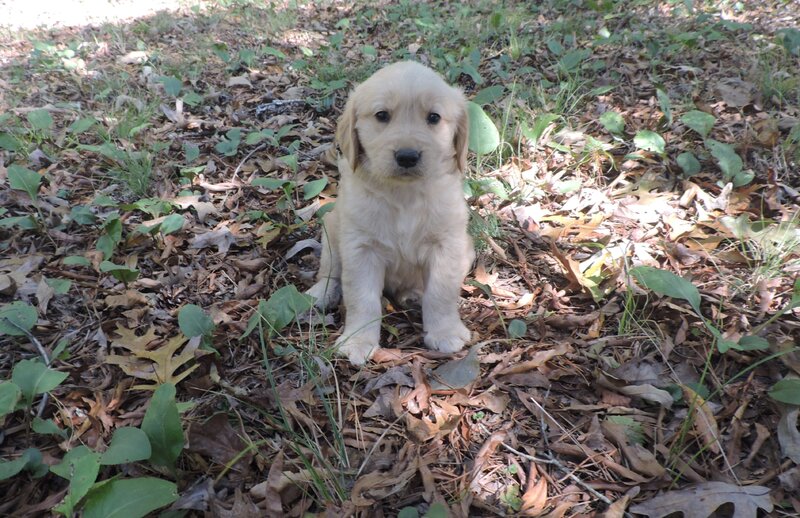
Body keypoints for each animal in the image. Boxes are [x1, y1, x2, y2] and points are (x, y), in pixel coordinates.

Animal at [306, 61, 472, 366]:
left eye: (433, 117)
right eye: (382, 115)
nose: (407, 156)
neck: (404, 195)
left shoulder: (448, 244)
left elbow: (441, 292)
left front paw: (445, 332)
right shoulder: (361, 248)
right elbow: (363, 298)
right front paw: (357, 341)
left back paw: (413, 295)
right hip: (331, 227)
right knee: (330, 271)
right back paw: (321, 293)